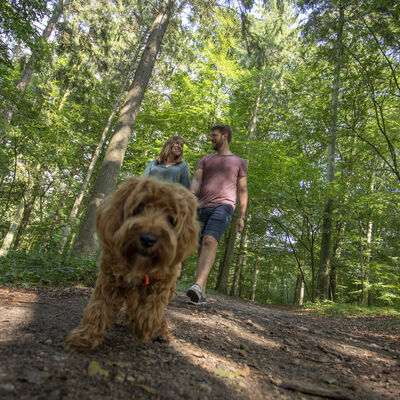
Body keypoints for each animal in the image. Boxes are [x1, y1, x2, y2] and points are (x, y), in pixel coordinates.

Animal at [63, 177, 199, 352]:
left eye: (171, 219)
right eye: (139, 208)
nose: (148, 238)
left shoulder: (162, 281)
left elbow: (152, 308)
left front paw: (145, 325)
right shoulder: (109, 279)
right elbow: (98, 308)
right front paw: (85, 336)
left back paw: (160, 331)